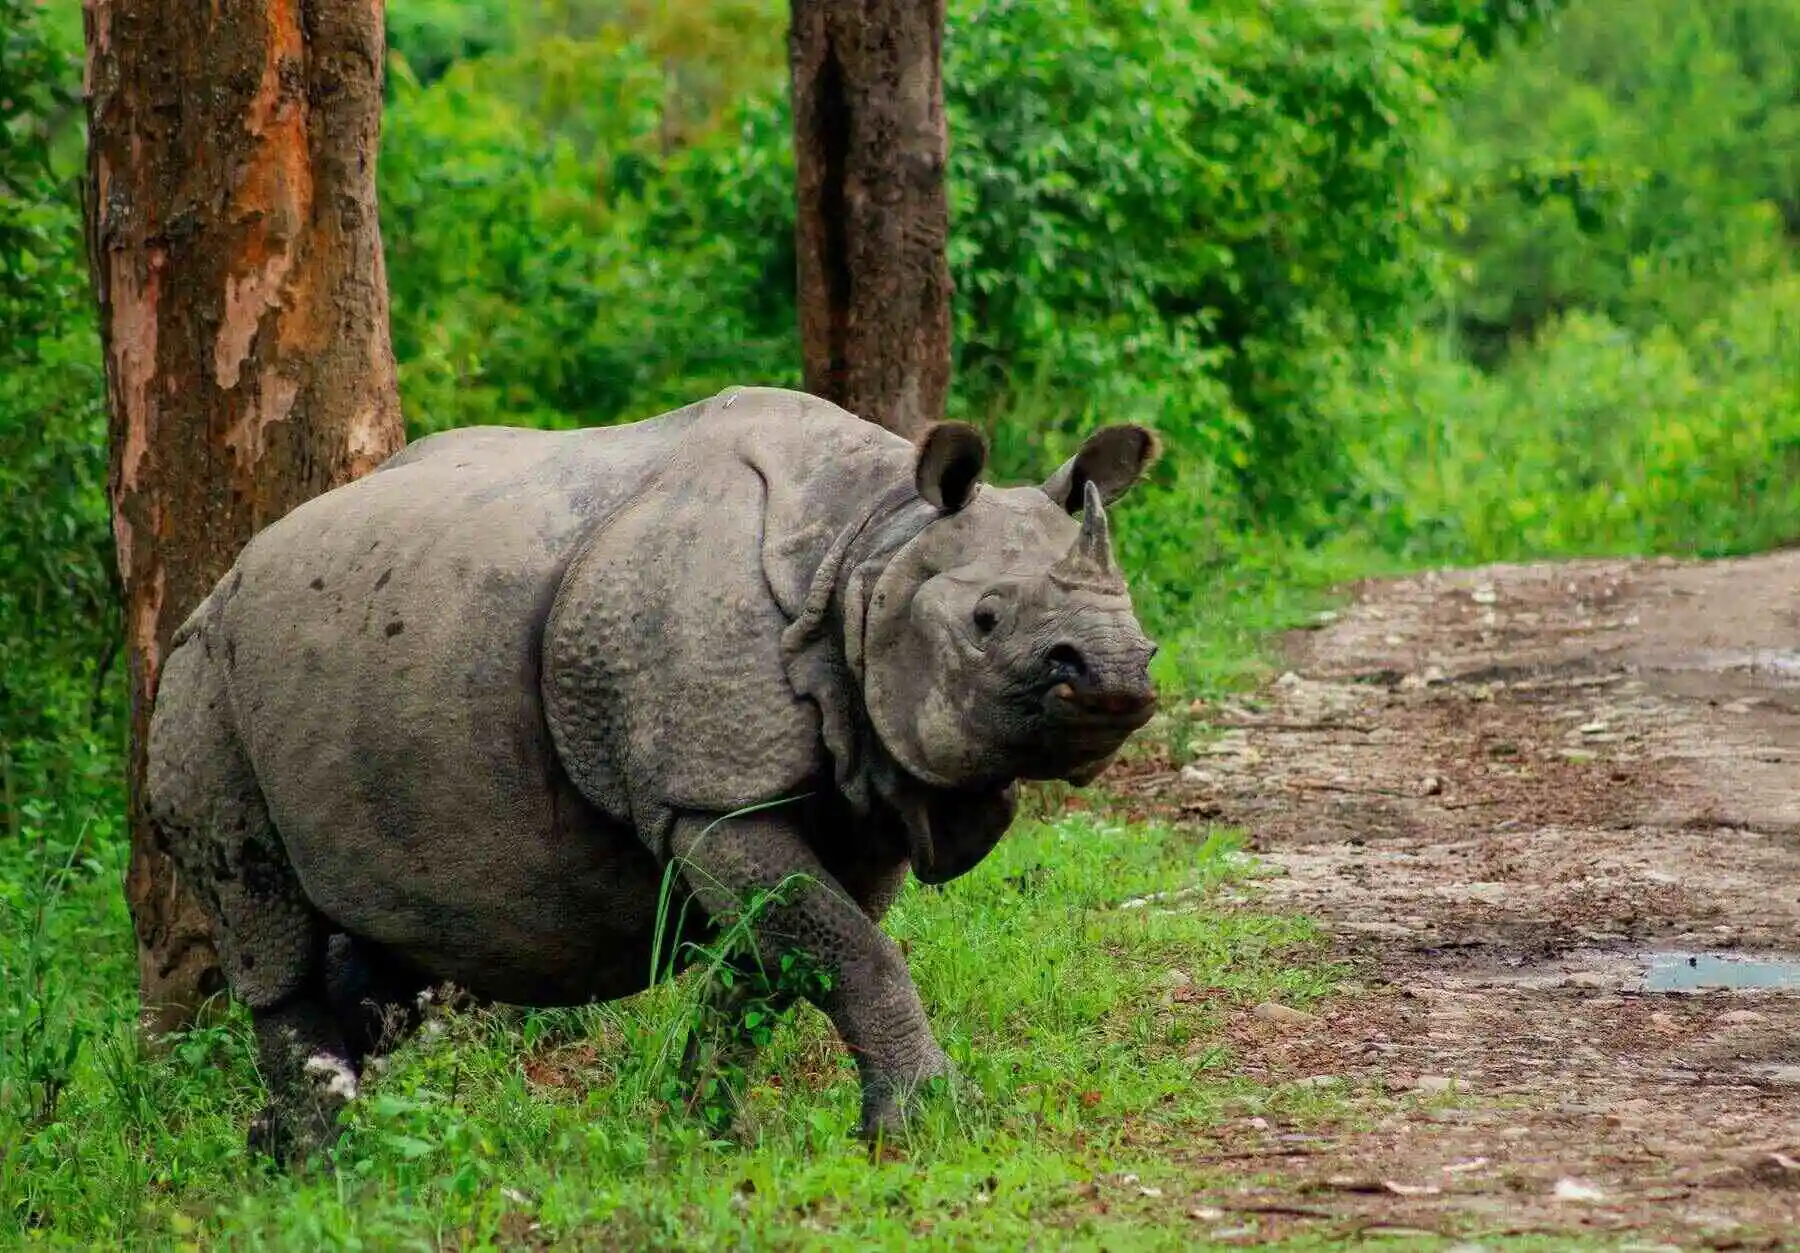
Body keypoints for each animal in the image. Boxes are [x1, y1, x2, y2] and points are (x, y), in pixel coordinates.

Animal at [146, 386, 1161, 1160]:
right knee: (266, 920)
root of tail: (222, 581)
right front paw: (928, 1126)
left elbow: (781, 960)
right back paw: (331, 1163)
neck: (869, 549)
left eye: (1135, 611)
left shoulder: (858, 793)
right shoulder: (706, 797)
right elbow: (849, 951)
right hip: (202, 686)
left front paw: (704, 1128)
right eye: (986, 619)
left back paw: (284, 1149)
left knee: (373, 947)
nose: (1115, 673)